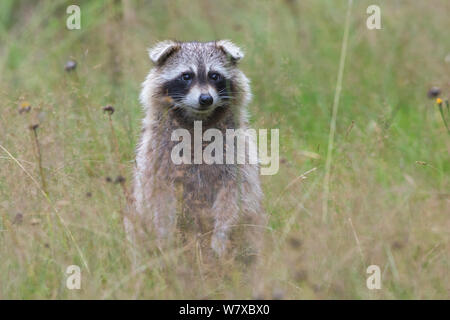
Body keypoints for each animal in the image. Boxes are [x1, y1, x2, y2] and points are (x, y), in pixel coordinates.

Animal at [128, 40, 266, 260]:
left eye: (214, 75)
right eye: (186, 76)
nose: (206, 99)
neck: (198, 120)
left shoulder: (236, 151)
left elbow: (236, 193)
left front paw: (221, 234)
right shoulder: (156, 155)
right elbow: (158, 196)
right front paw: (165, 235)